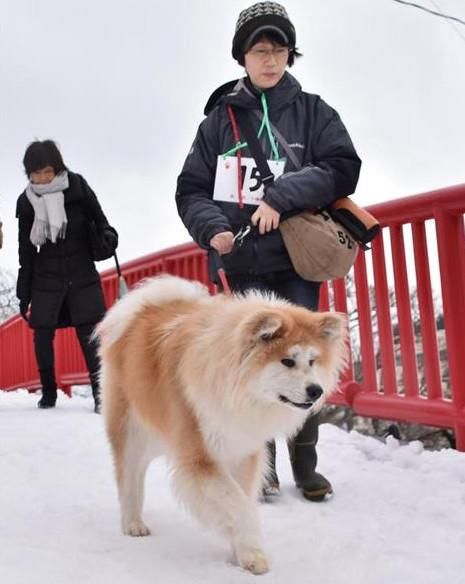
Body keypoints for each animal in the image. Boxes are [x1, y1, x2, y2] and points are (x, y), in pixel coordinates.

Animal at [96, 274, 346, 576]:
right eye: (287, 361)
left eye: (312, 361)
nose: (316, 391)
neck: (236, 390)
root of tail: (140, 311)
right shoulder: (201, 457)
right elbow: (240, 505)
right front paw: (250, 549)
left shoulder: (241, 451)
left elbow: (241, 497)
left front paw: (242, 552)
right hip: (132, 431)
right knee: (129, 478)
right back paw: (133, 524)